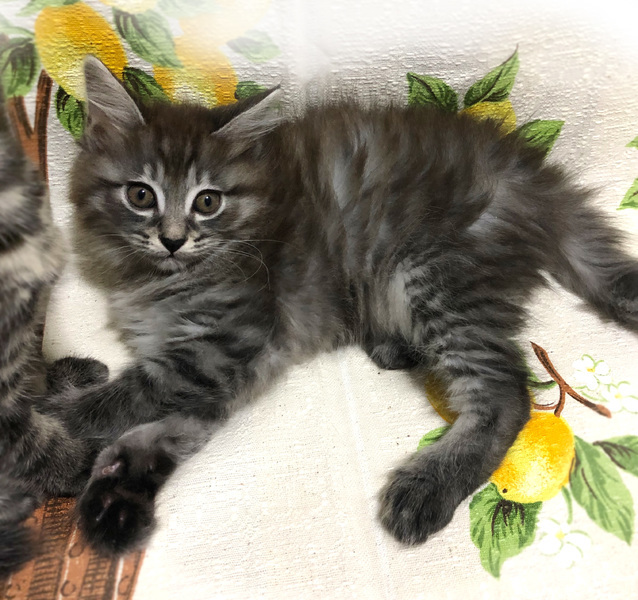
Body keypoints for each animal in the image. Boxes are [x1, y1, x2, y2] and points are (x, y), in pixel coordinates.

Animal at [33, 55, 638, 558]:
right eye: (141, 195)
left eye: (207, 202)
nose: (173, 239)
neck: (161, 280)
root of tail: (529, 170)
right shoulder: (233, 369)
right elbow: (167, 429)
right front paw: (117, 497)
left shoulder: (227, 343)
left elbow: (121, 398)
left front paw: (49, 421)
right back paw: (392, 347)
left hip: (434, 272)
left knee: (507, 395)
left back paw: (427, 487)